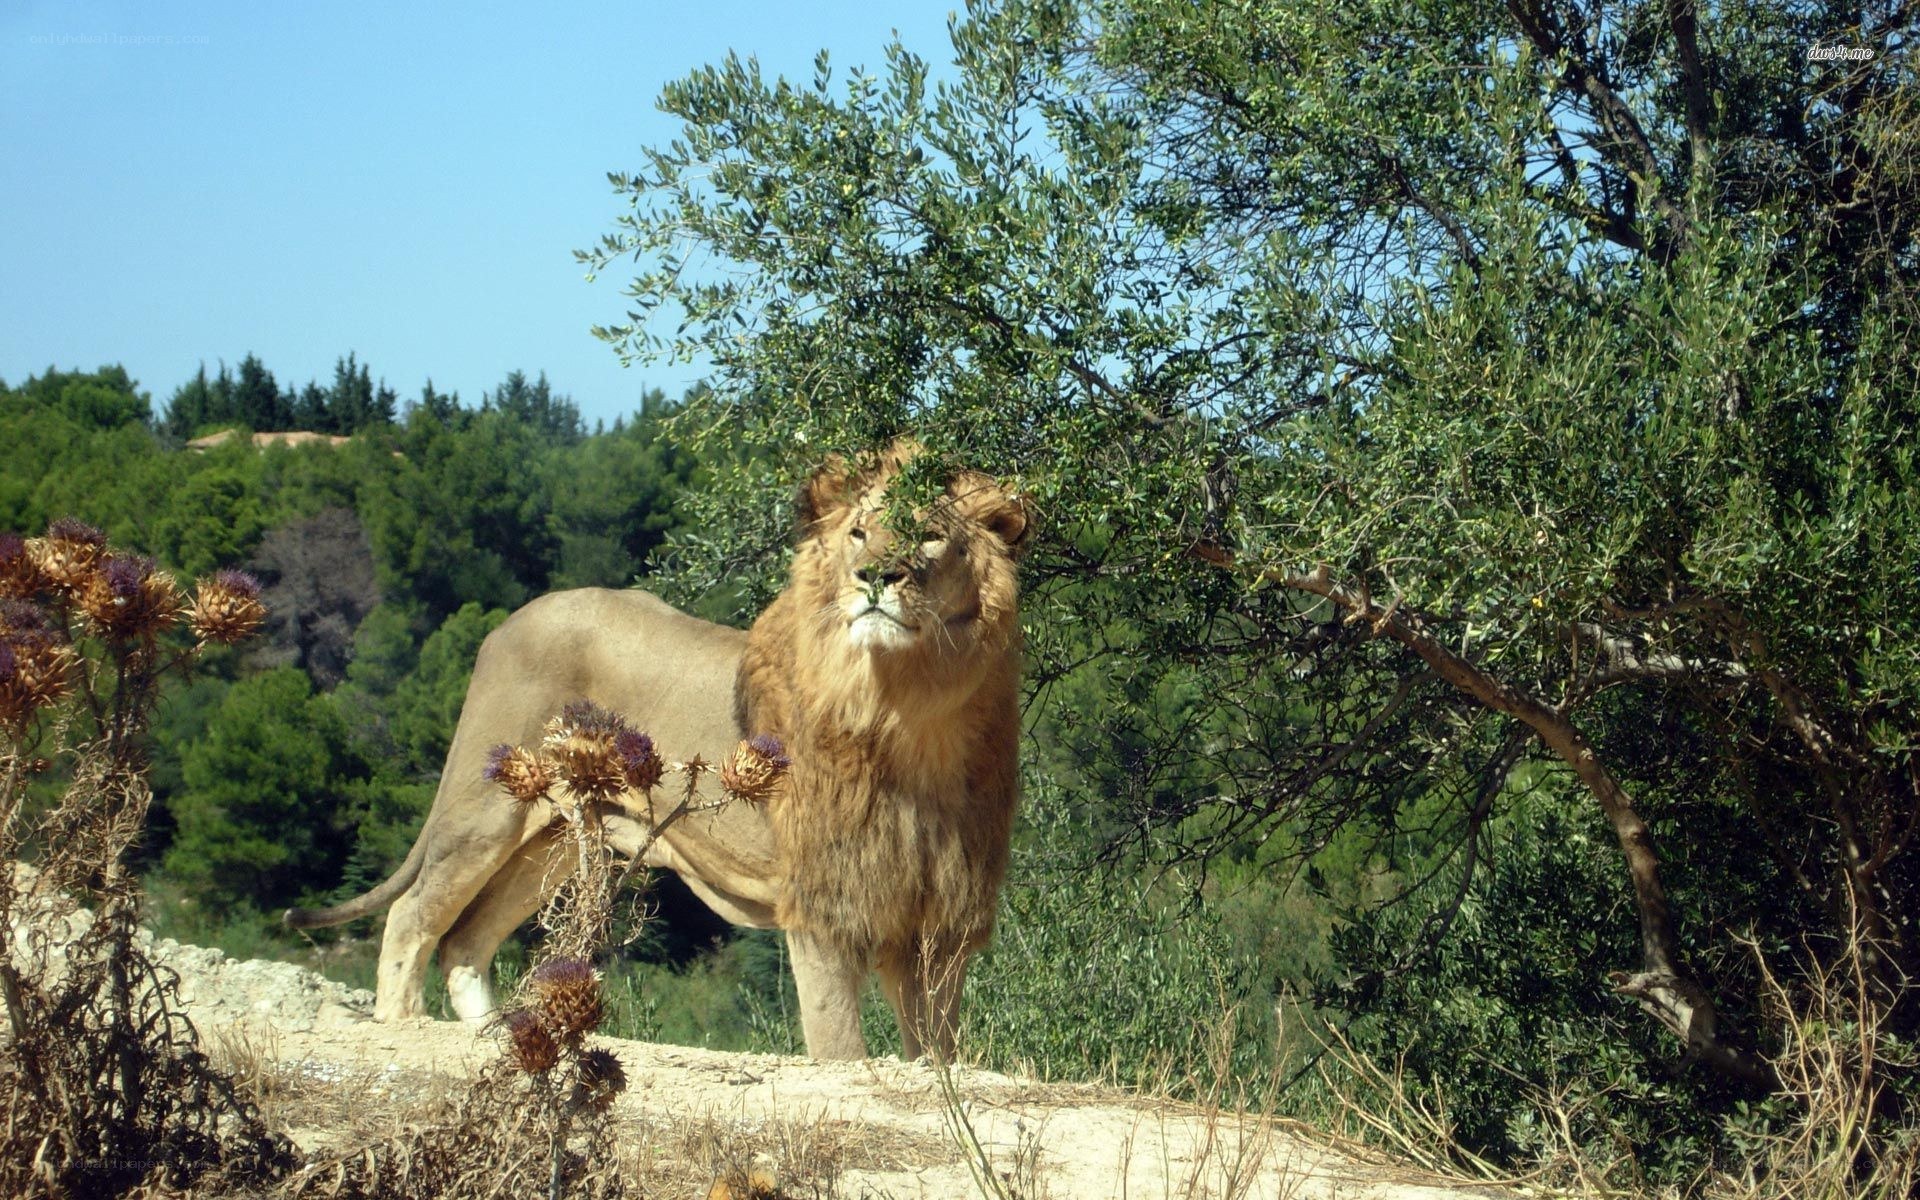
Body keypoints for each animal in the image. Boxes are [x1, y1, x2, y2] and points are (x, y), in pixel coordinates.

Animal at [284, 441, 1033, 1061]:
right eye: (858, 532)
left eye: (930, 536)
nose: (876, 575)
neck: (911, 715)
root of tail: (506, 624)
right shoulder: (822, 903)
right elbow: (840, 1048)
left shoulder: (943, 914)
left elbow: (937, 1052)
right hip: (485, 813)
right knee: (411, 917)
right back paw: (405, 1024)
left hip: (550, 840)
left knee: (465, 941)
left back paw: (497, 1038)